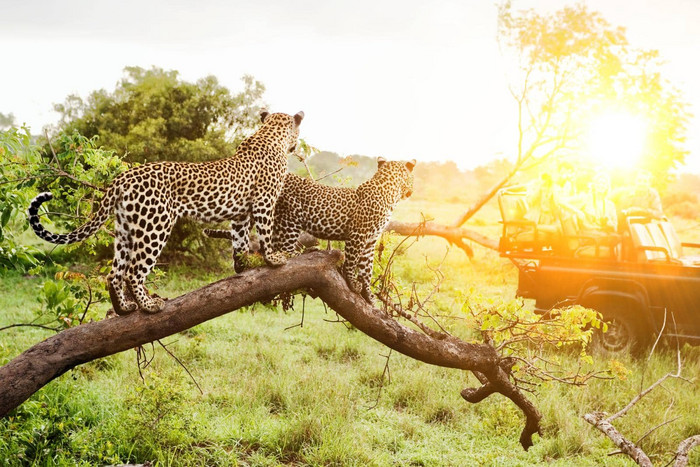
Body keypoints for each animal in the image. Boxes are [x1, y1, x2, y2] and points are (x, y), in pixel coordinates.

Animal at [27, 109, 304, 314]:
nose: (296, 146)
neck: (270, 134)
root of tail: (122, 178)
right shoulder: (264, 201)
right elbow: (265, 233)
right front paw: (273, 259)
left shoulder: (240, 214)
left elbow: (240, 240)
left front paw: (243, 265)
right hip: (155, 226)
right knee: (133, 272)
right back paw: (149, 305)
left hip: (126, 229)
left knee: (114, 274)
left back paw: (124, 308)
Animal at [206, 158, 416, 304]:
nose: (412, 191)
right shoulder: (358, 236)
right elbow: (352, 262)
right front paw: (352, 282)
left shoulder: (371, 241)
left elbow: (366, 269)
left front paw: (369, 295)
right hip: (289, 219)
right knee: (284, 252)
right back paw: (305, 252)